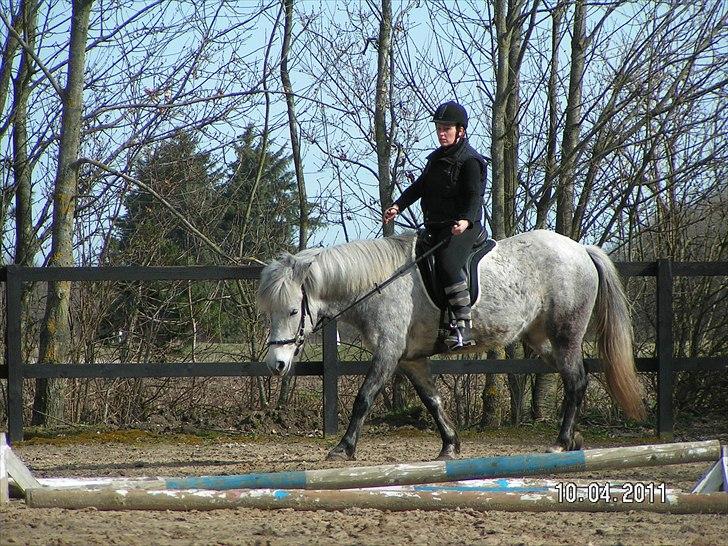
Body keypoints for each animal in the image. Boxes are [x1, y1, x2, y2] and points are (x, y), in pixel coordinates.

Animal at [258, 230, 644, 460]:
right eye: (269, 312)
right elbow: (432, 400)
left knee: (576, 380)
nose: (276, 364)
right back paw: (573, 439)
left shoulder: (388, 352)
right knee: (574, 378)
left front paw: (343, 448)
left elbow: (364, 397)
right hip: (540, 339)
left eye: (292, 311)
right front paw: (449, 445)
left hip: (565, 334)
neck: (378, 283)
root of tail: (581, 248)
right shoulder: (409, 359)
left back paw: (562, 441)